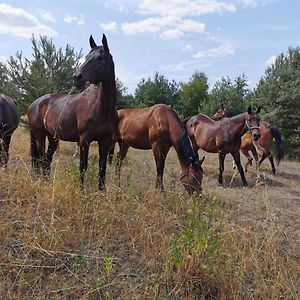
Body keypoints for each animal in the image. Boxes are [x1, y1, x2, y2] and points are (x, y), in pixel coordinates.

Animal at [27, 34, 117, 190]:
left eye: (100, 57)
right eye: (87, 56)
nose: (77, 77)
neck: (102, 107)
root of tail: (34, 103)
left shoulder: (105, 141)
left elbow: (102, 169)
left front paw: (102, 193)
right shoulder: (84, 140)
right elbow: (83, 167)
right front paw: (81, 191)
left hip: (53, 138)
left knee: (47, 160)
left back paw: (47, 183)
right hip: (39, 136)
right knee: (41, 159)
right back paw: (43, 183)